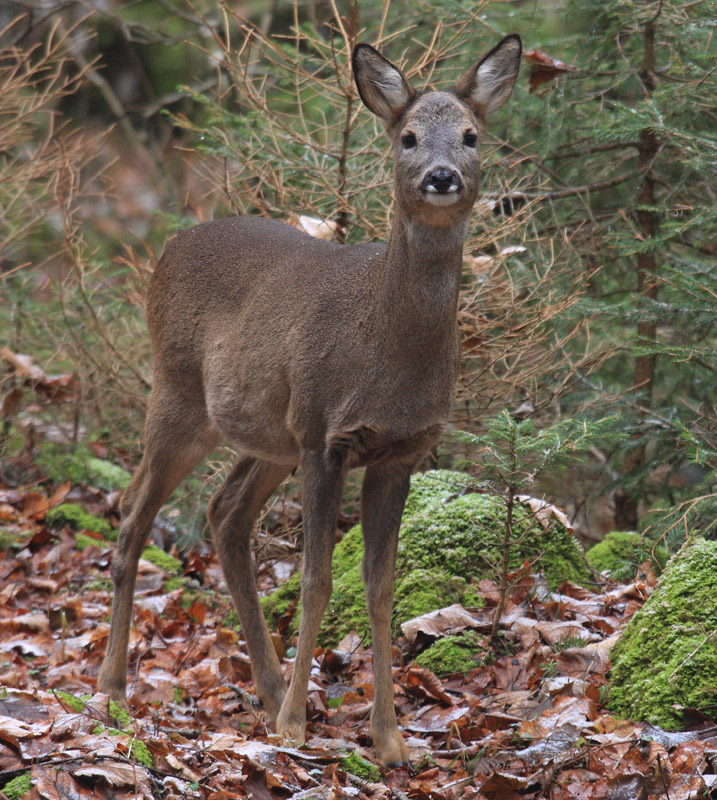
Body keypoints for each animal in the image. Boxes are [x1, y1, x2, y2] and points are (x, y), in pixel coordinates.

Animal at [96, 34, 520, 764]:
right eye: (407, 136)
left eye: (471, 136)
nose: (441, 177)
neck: (389, 353)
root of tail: (168, 246)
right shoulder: (327, 433)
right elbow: (316, 580)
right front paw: (296, 727)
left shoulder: (399, 451)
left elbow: (380, 587)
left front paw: (389, 739)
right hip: (179, 396)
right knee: (131, 513)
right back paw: (116, 688)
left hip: (269, 433)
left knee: (224, 513)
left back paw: (264, 688)